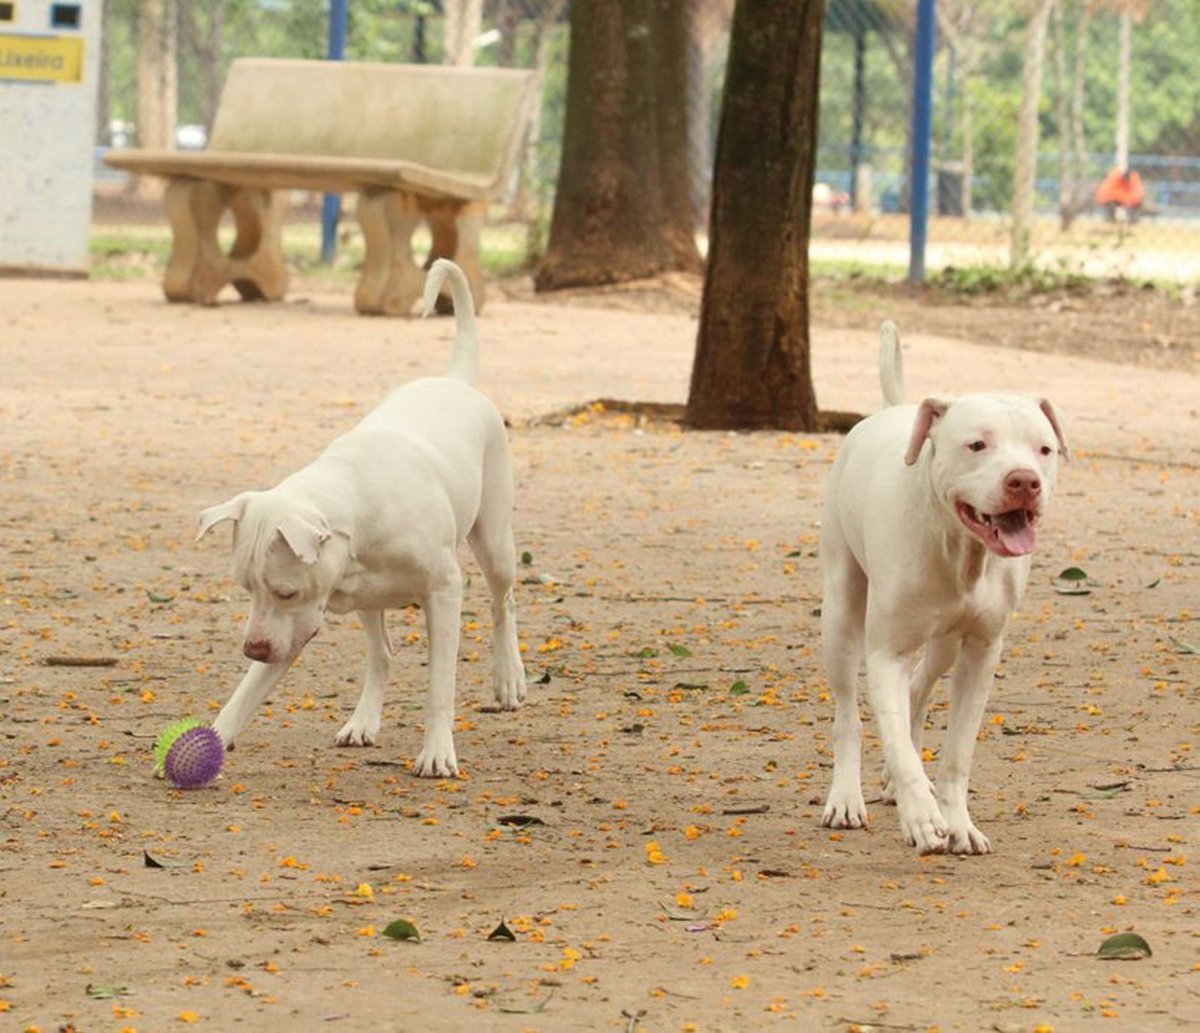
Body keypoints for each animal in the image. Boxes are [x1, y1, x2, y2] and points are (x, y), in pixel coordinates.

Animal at [196, 257, 525, 772]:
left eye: (286, 591)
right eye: (246, 589)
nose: (253, 647)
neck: (355, 506)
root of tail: (453, 380)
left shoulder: (444, 591)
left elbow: (440, 685)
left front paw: (437, 751)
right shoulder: (296, 625)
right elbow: (247, 690)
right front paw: (213, 735)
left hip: (494, 542)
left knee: (502, 603)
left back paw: (509, 677)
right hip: (370, 602)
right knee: (382, 654)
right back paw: (363, 721)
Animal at [816, 323, 1070, 854]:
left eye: (1044, 449)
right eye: (977, 445)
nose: (1024, 481)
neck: (960, 551)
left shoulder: (981, 651)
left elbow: (957, 754)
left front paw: (957, 821)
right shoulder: (885, 652)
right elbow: (893, 738)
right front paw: (920, 816)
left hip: (944, 643)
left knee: (917, 687)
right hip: (841, 613)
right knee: (849, 712)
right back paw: (847, 797)